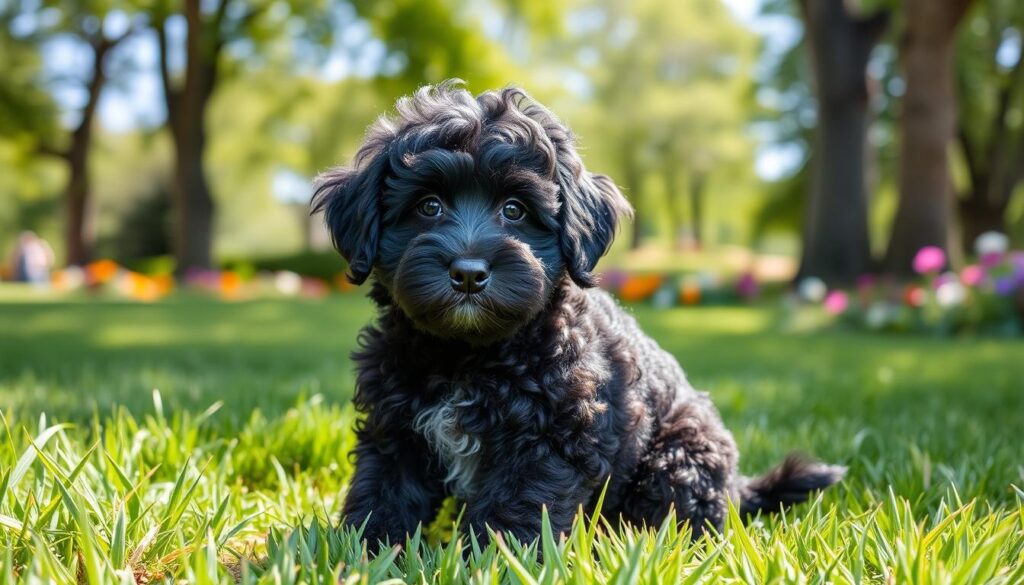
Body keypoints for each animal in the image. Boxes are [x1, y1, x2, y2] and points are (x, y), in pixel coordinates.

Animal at [315, 79, 843, 549]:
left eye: (514, 209)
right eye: (428, 206)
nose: (468, 273)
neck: (468, 356)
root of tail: (737, 488)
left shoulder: (549, 438)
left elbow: (516, 509)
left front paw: (495, 561)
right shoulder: (396, 428)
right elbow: (385, 492)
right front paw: (366, 551)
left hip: (678, 456)